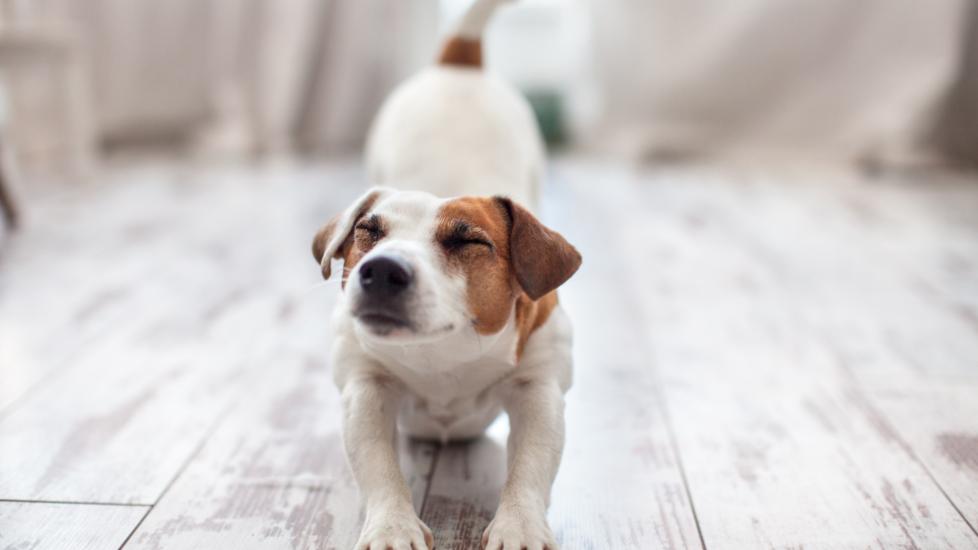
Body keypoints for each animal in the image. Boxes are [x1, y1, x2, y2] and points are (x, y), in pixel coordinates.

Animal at [308, 2, 576, 548]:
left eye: (469, 241)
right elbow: (379, 465)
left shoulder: (538, 389)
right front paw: (392, 525)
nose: (380, 269)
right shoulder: (365, 388)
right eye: (368, 231)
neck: (444, 355)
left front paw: (518, 525)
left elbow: (531, 465)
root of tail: (459, 60)